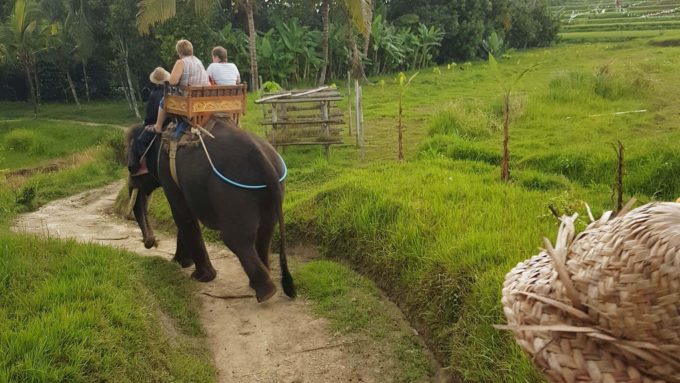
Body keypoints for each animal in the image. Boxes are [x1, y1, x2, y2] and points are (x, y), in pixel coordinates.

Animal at [125, 118, 294, 304]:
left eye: (130, 167)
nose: (152, 243)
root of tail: (265, 160)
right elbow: (184, 215)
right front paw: (179, 262)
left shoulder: (166, 170)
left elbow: (181, 214)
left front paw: (199, 276)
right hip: (272, 189)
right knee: (265, 232)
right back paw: (260, 282)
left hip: (233, 191)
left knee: (236, 239)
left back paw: (265, 292)